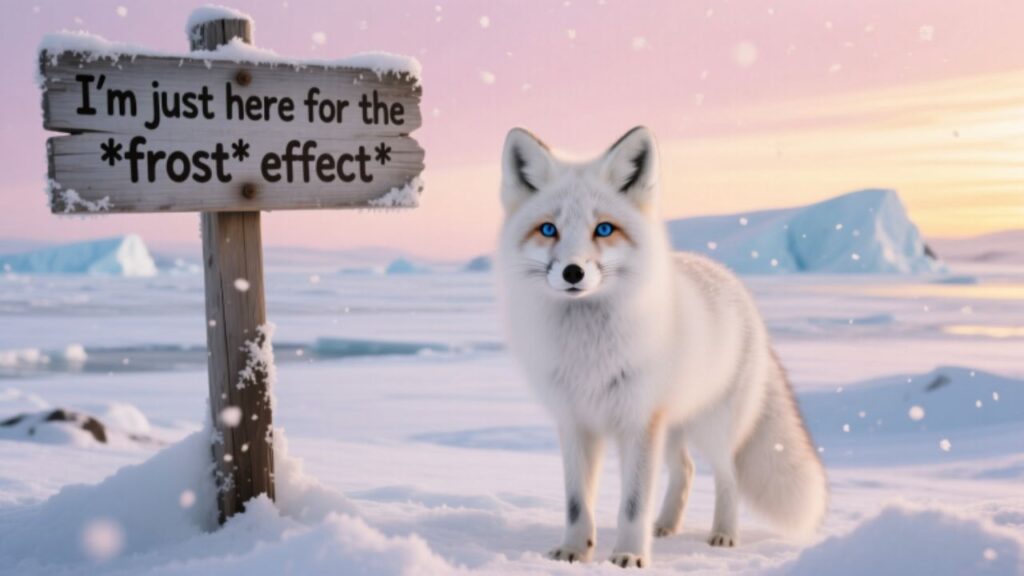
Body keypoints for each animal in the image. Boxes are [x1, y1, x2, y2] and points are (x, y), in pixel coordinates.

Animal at [496, 126, 827, 568]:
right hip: (672, 429)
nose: (572, 272)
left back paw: (723, 534)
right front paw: (574, 551)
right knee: (685, 470)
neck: (588, 353)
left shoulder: (638, 421)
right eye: (548, 230)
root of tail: (731, 280)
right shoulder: (575, 421)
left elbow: (633, 504)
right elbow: (577, 503)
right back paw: (666, 526)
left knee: (728, 476)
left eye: (604, 229)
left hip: (712, 427)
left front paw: (629, 556)